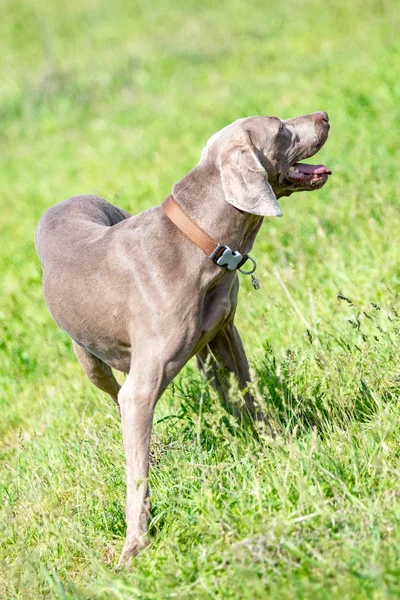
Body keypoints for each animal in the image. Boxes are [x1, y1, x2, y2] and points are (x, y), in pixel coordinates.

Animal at [36, 112, 332, 568]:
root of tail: (60, 203)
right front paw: (135, 547)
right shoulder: (143, 387)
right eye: (281, 128)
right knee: (115, 398)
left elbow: (248, 396)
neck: (203, 242)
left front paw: (278, 446)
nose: (324, 116)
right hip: (88, 359)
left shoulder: (224, 335)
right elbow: (137, 474)